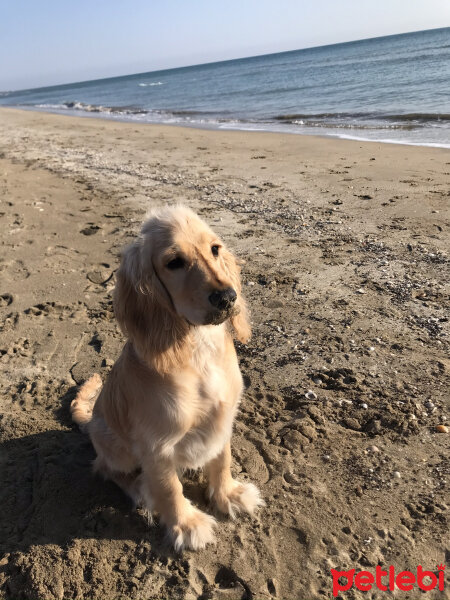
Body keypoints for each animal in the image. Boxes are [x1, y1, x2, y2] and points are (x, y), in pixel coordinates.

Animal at [70, 205, 264, 548]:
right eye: (174, 263)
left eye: (215, 249)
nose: (228, 297)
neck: (198, 348)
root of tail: (91, 421)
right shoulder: (156, 446)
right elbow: (169, 487)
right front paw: (186, 524)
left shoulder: (223, 419)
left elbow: (222, 459)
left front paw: (228, 494)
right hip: (114, 446)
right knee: (107, 469)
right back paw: (139, 490)